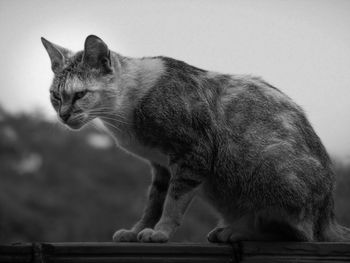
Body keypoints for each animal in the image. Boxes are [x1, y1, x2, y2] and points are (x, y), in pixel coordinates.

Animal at [41, 34, 350, 243]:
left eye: (80, 94)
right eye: (55, 96)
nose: (63, 115)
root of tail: (329, 214)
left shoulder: (193, 154)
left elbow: (173, 203)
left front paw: (160, 232)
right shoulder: (161, 166)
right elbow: (153, 203)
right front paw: (137, 230)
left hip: (272, 169)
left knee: (297, 233)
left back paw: (238, 231)